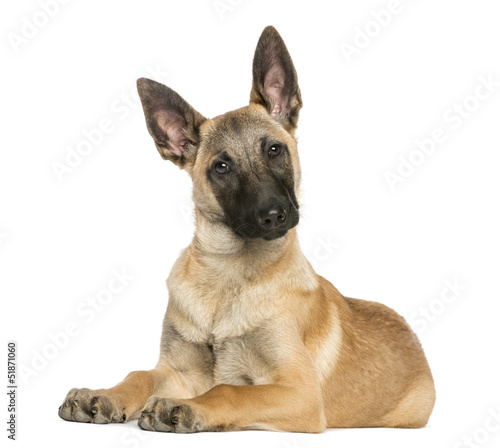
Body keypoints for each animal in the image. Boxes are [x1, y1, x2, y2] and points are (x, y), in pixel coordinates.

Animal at [57, 26, 434, 432]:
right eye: (221, 167)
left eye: (274, 150)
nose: (274, 216)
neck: (228, 275)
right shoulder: (179, 369)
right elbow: (139, 374)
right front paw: (103, 395)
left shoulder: (300, 392)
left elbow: (228, 391)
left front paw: (184, 407)